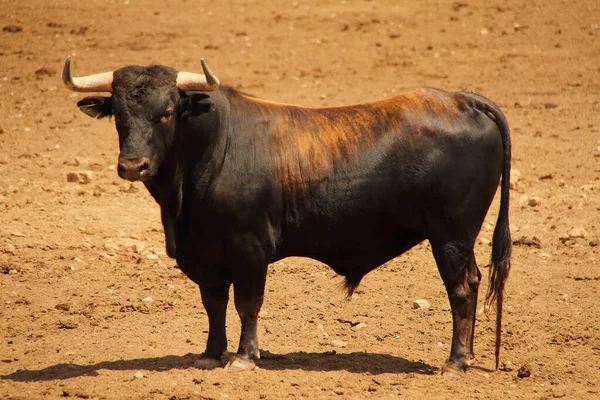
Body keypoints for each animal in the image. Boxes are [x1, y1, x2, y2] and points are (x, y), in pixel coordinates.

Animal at [62, 56, 510, 376]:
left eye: (168, 112)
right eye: (118, 114)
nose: (132, 166)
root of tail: (460, 99)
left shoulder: (250, 249)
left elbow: (247, 303)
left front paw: (244, 356)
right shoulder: (204, 257)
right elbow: (213, 304)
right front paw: (210, 353)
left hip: (451, 235)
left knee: (461, 287)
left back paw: (455, 362)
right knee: (472, 282)